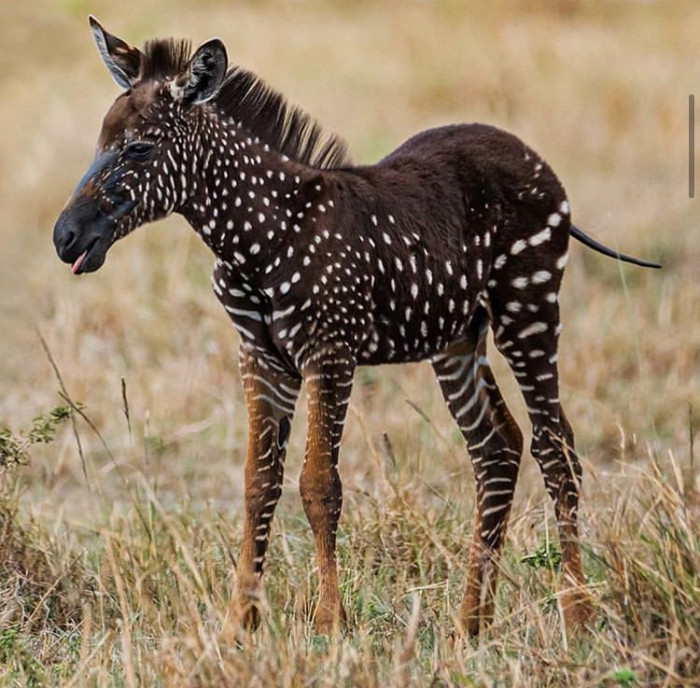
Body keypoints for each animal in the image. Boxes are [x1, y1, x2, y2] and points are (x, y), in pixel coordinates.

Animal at [52, 18, 660, 636]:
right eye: (100, 143)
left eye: (140, 148)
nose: (65, 238)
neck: (258, 238)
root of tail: (528, 153)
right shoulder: (261, 357)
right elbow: (258, 484)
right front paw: (239, 624)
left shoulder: (330, 352)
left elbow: (319, 486)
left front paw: (328, 623)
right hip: (459, 338)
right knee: (498, 448)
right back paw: (470, 624)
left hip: (529, 306)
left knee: (556, 449)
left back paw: (577, 615)